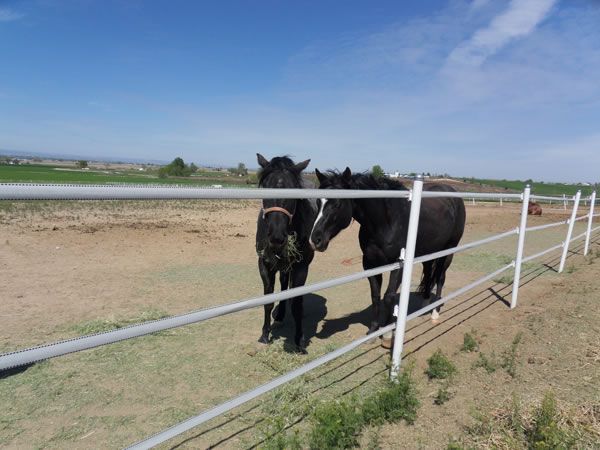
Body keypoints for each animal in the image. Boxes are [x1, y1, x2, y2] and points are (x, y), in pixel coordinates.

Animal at [254, 154, 316, 352]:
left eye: (294, 189)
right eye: (266, 188)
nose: (276, 237)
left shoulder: (301, 267)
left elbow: (296, 303)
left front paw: (299, 341)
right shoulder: (265, 264)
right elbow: (268, 300)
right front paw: (265, 335)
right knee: (282, 283)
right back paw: (279, 315)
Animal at [310, 169, 464, 338]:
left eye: (337, 203)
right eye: (318, 202)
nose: (315, 240)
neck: (387, 222)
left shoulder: (398, 265)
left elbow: (389, 296)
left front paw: (388, 331)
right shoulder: (370, 264)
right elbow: (376, 296)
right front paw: (373, 329)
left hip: (448, 251)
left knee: (440, 277)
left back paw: (435, 313)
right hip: (429, 252)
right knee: (429, 273)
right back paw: (424, 304)